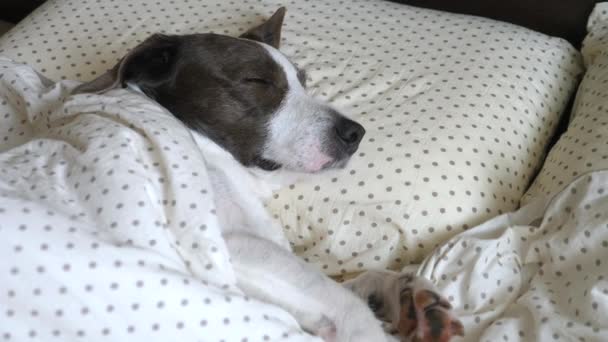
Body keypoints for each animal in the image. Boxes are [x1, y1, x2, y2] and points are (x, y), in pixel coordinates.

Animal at [72, 8, 460, 342]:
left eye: (304, 81)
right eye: (256, 80)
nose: (355, 133)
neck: (216, 159)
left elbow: (354, 282)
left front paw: (407, 295)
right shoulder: (225, 243)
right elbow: (341, 300)